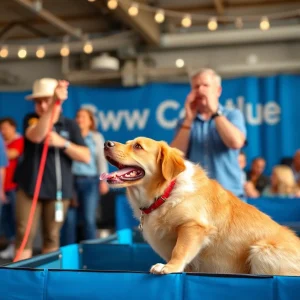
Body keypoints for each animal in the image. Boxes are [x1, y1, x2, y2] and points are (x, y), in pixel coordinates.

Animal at [100, 137, 300, 276]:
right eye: (128, 143)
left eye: (138, 146)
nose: (106, 143)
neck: (165, 193)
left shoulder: (193, 226)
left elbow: (179, 250)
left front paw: (169, 267)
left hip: (261, 251)